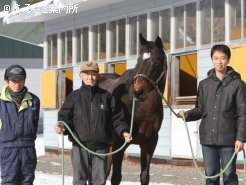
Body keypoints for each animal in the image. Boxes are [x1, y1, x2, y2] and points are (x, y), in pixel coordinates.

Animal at [99, 33, 167, 185]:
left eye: (157, 62)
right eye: (139, 60)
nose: (138, 91)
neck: (141, 111)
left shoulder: (149, 144)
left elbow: (144, 176)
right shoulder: (119, 143)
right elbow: (116, 177)